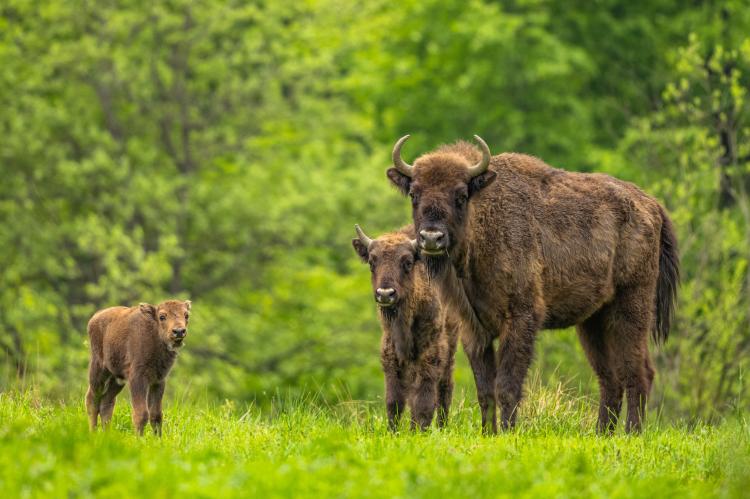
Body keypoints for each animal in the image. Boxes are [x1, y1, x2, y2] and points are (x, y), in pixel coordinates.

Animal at [85, 298, 192, 436]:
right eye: (162, 316)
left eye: (186, 315)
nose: (179, 331)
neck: (154, 334)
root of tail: (94, 318)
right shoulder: (138, 378)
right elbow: (141, 414)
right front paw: (139, 438)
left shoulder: (158, 380)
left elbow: (156, 415)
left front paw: (158, 439)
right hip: (98, 370)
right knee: (92, 399)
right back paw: (92, 433)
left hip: (117, 379)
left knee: (106, 402)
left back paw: (107, 435)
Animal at [352, 225, 458, 432]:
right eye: (372, 262)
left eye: (408, 263)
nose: (385, 294)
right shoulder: (391, 353)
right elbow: (395, 400)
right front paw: (393, 431)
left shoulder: (431, 352)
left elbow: (423, 399)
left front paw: (418, 431)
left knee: (444, 388)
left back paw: (442, 427)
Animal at [388, 136, 680, 434]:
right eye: (414, 194)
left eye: (461, 195)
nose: (431, 237)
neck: (484, 219)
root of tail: (652, 206)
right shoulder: (474, 329)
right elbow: (485, 390)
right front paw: (488, 433)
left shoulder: (521, 318)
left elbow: (507, 386)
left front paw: (507, 432)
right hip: (593, 322)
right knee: (609, 378)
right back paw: (602, 434)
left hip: (631, 307)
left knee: (638, 372)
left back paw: (631, 433)